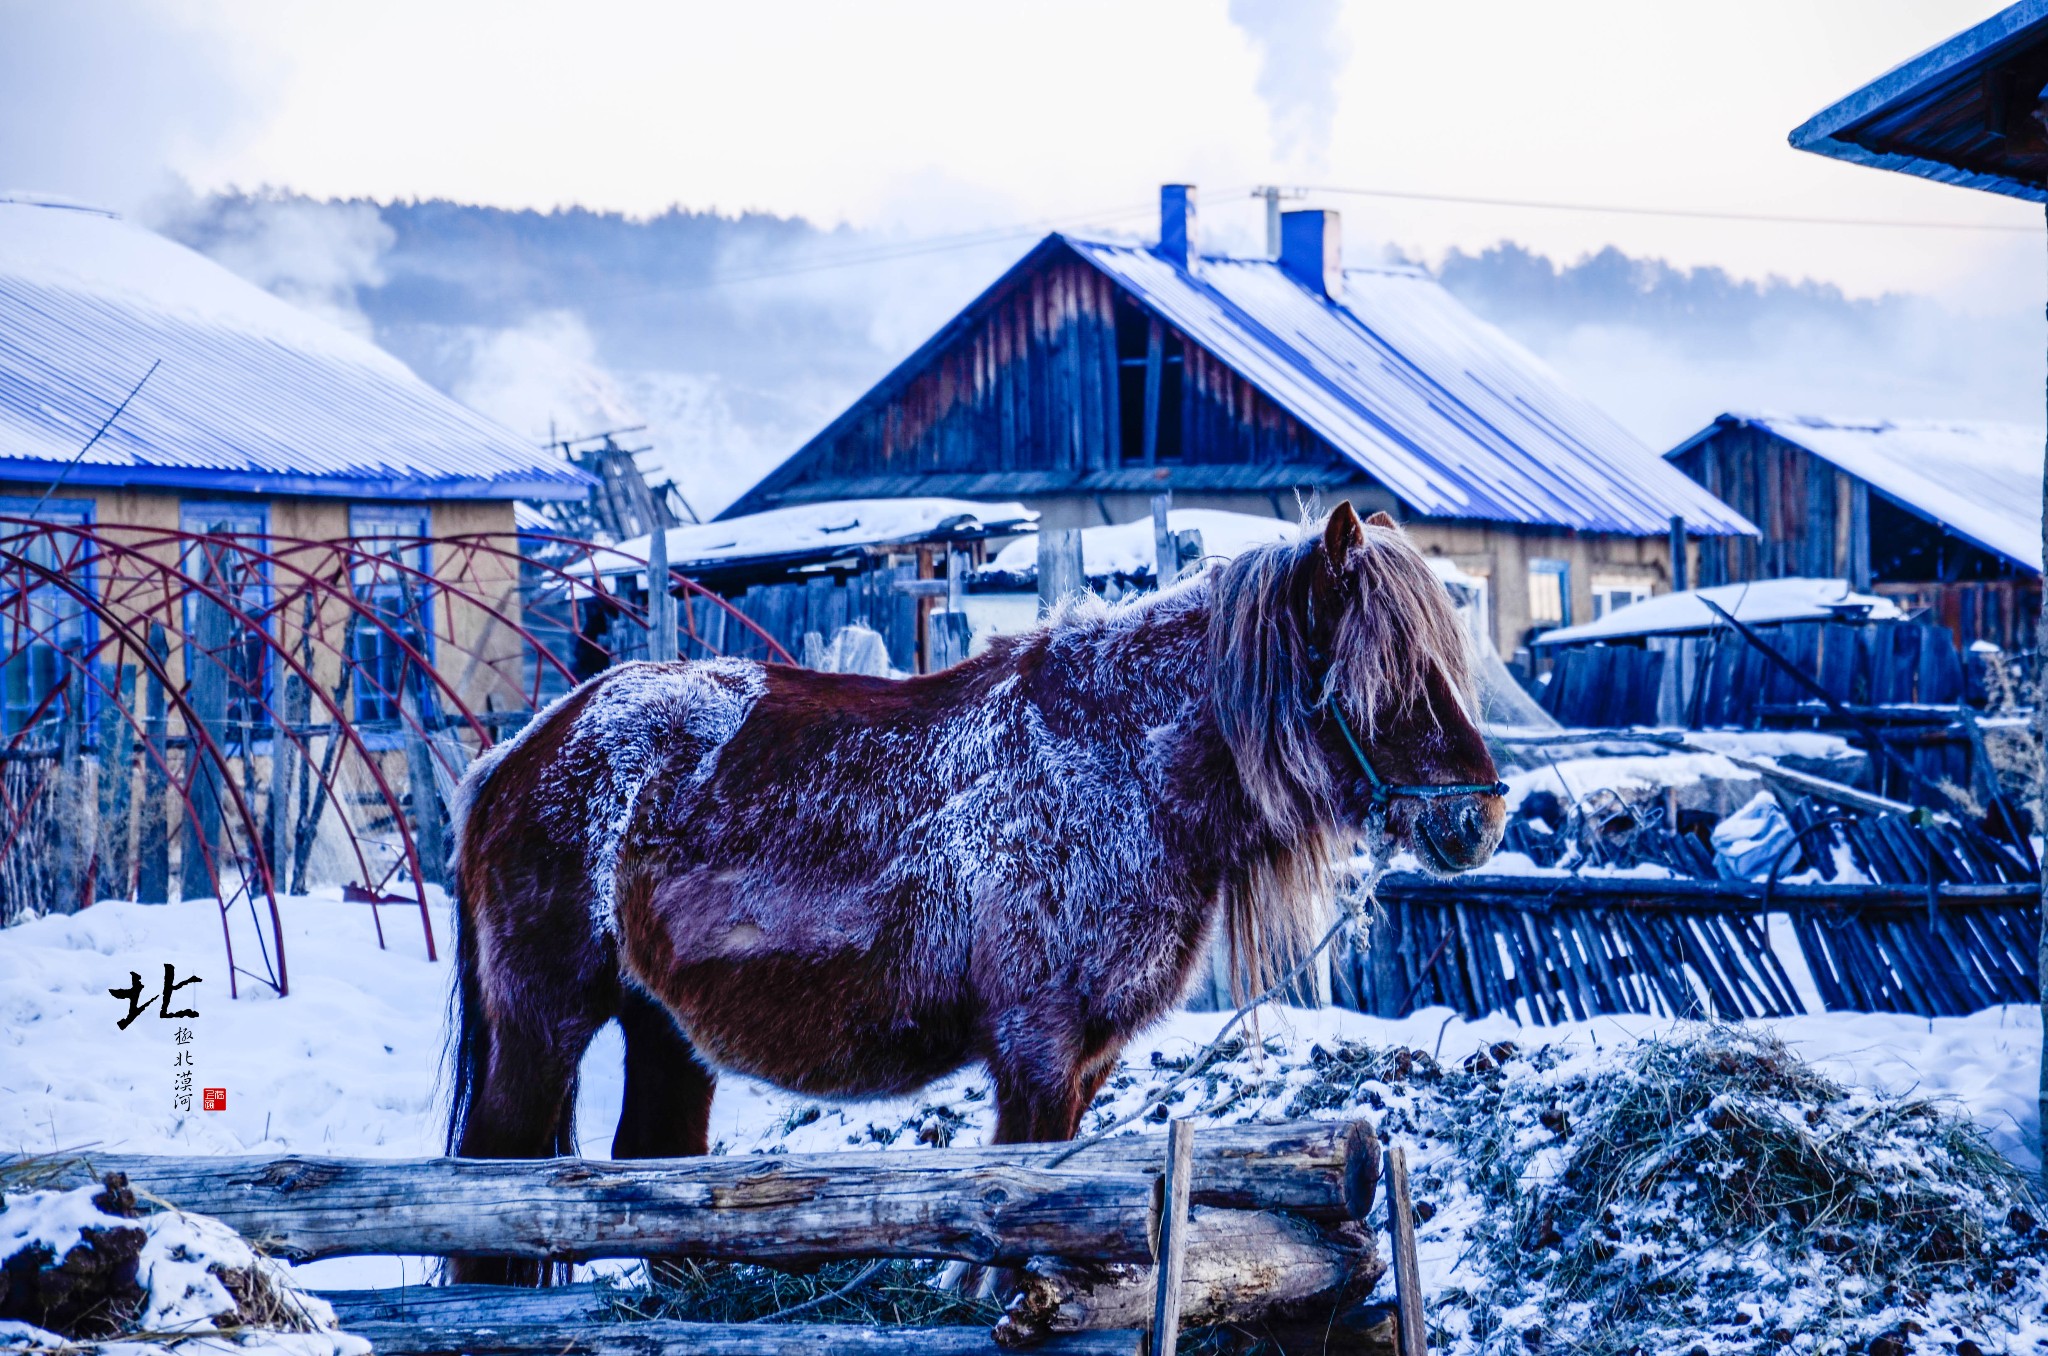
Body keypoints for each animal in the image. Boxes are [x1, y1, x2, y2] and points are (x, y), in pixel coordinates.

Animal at [444, 501, 1507, 1286]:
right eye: (1390, 677)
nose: (1483, 818)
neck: (1120, 761)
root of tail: (520, 750)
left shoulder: (1088, 1059)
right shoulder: (1036, 1049)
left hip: (665, 1031)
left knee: (651, 1179)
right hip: (545, 1025)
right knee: (493, 1179)